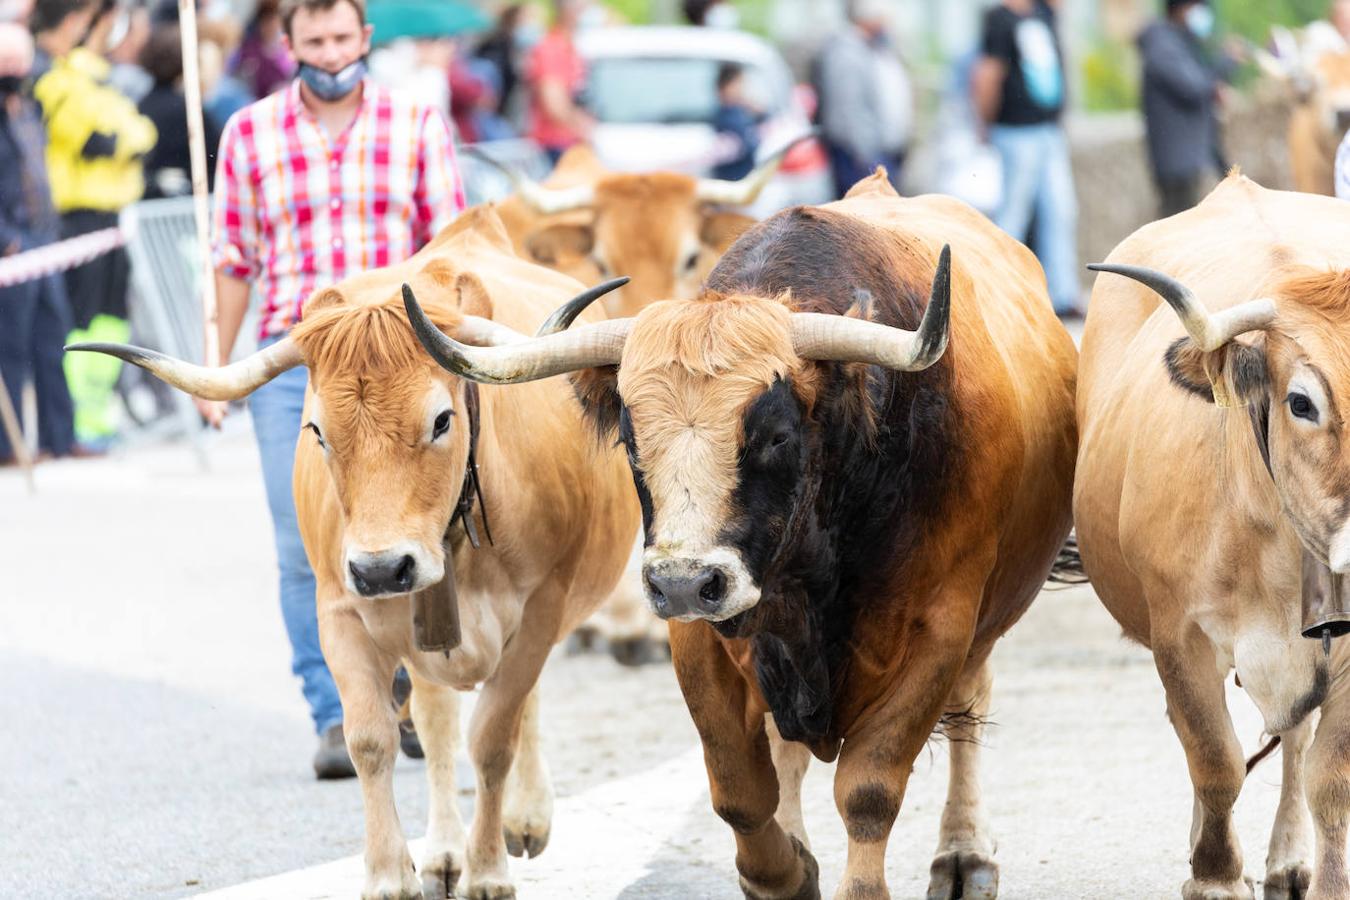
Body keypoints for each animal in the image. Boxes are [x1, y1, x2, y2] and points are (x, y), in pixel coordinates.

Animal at [399, 174, 1074, 900]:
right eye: (631, 438)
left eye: (775, 435)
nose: (683, 582)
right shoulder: (699, 636)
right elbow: (741, 790)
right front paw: (783, 872)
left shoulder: (937, 633)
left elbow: (868, 789)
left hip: (982, 627)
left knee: (968, 711)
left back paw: (964, 854)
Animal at [1080, 172, 1350, 895]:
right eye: (1302, 402)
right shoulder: (1180, 636)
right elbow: (1215, 758)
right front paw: (1215, 874)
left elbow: (1330, 775)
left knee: (1295, 743)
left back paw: (1289, 859)